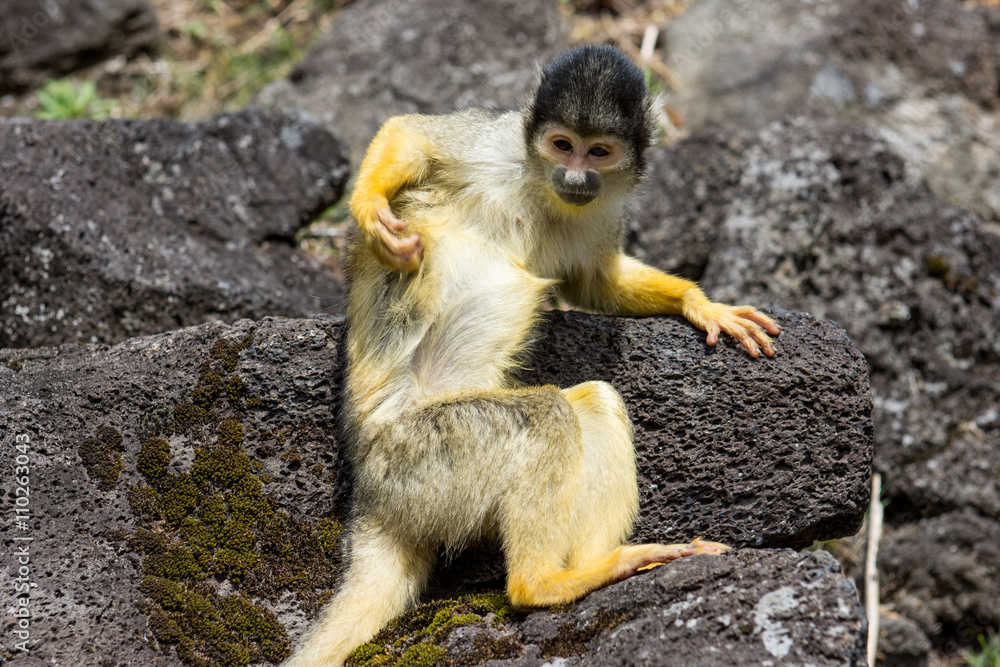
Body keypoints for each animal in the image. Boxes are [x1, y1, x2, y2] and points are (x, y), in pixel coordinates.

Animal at [284, 44, 780, 667]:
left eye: (598, 152)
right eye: (561, 145)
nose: (576, 175)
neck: (542, 187)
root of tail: (369, 494)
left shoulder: (603, 207)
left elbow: (597, 281)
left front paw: (702, 303)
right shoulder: (499, 143)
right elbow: (412, 132)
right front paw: (370, 207)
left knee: (593, 399)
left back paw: (596, 566)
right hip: (417, 457)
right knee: (543, 415)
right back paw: (541, 585)